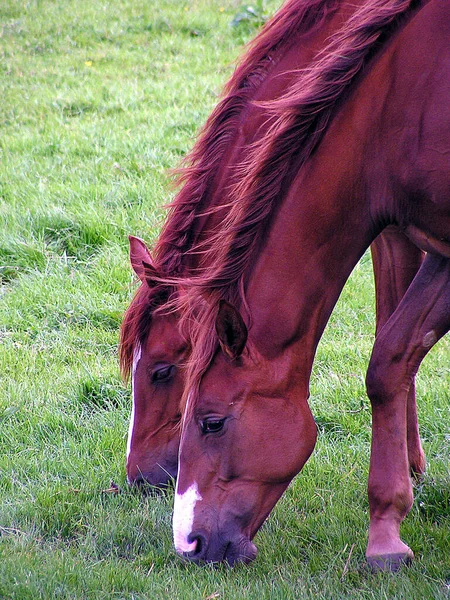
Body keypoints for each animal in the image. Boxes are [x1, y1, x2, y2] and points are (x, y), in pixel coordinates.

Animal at [171, 0, 446, 572]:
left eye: (212, 423)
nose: (188, 544)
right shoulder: (436, 245)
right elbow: (395, 354)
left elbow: (388, 363)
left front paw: (384, 537)